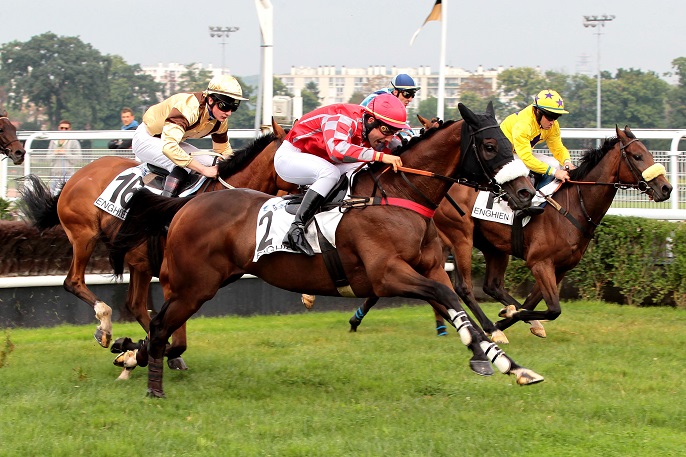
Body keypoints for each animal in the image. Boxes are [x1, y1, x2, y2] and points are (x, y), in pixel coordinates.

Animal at [20, 119, 294, 366]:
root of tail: (78, 175)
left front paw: (139, 349)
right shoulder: (176, 278)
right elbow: (177, 335)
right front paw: (142, 349)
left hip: (137, 260)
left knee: (135, 304)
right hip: (84, 235)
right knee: (74, 281)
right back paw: (105, 326)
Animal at [109, 102, 544, 396]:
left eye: (510, 141)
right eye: (490, 146)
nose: (526, 193)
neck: (399, 195)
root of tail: (187, 204)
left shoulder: (431, 268)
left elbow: (452, 299)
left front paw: (505, 362)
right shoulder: (387, 275)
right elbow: (445, 297)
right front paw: (492, 355)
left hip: (196, 284)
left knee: (161, 326)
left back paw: (133, 356)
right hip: (193, 285)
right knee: (161, 325)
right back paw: (151, 384)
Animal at [352, 124, 676, 342]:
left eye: (648, 153)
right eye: (637, 156)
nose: (666, 188)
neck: (573, 206)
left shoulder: (560, 267)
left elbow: (535, 304)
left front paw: (513, 317)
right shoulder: (540, 262)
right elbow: (553, 308)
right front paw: (502, 322)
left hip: (493, 247)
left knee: (491, 285)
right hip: (461, 235)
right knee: (464, 286)